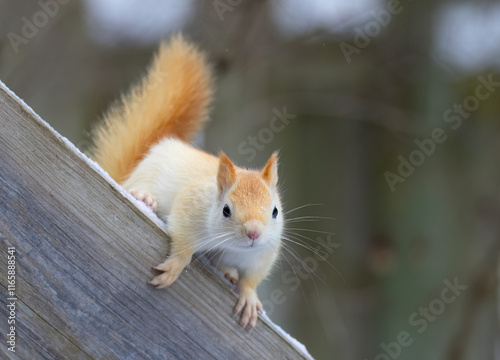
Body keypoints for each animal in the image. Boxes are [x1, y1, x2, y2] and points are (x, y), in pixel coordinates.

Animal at [90, 35, 284, 330]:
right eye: (226, 210)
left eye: (275, 211)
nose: (253, 233)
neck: (228, 245)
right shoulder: (189, 212)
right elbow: (183, 243)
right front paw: (175, 266)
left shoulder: (260, 254)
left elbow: (251, 279)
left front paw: (250, 297)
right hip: (144, 176)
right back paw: (145, 198)